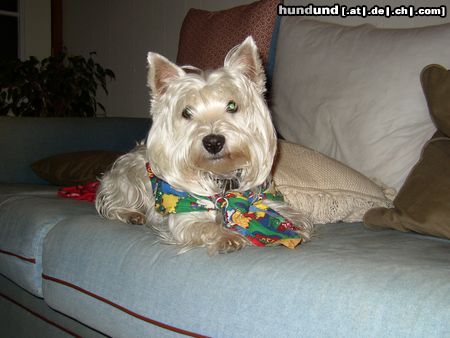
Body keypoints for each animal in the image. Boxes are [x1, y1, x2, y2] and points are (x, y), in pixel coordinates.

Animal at [95, 37, 312, 254]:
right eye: (186, 112)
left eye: (232, 105)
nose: (213, 142)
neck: (221, 178)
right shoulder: (184, 214)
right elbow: (203, 226)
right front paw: (228, 237)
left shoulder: (265, 198)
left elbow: (293, 216)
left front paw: (292, 227)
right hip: (128, 178)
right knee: (113, 203)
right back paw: (132, 214)